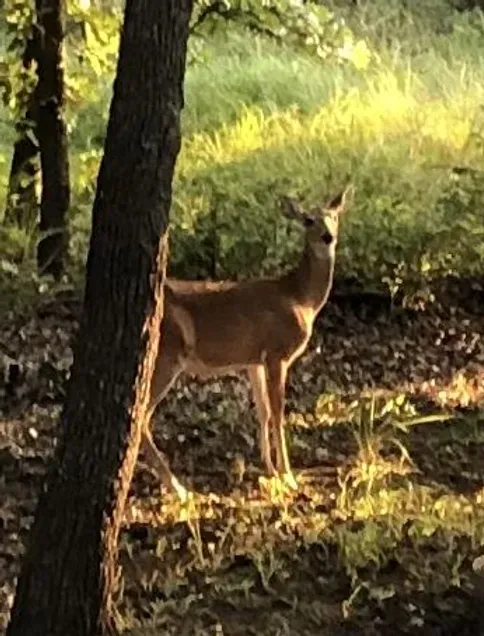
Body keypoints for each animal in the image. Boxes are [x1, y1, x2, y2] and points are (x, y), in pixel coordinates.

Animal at [141, 186, 352, 500]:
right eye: (307, 220)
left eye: (334, 216)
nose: (328, 236)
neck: (301, 298)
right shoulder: (277, 352)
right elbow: (278, 413)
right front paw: (288, 476)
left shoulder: (255, 359)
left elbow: (262, 412)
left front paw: (270, 469)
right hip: (166, 356)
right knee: (141, 416)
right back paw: (179, 489)